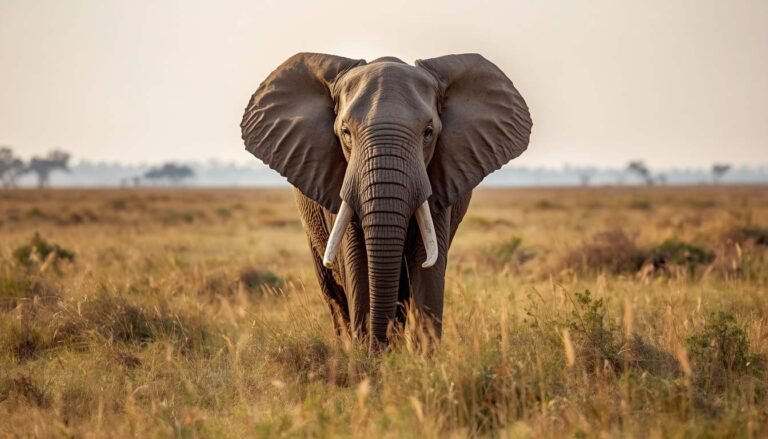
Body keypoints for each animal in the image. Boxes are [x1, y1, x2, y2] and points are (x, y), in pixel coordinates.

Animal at [241, 53, 532, 349]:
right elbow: (356, 263)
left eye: (428, 132)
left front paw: (421, 357)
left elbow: (427, 266)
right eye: (346, 132)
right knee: (334, 296)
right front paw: (366, 355)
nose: (379, 347)